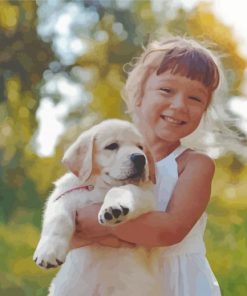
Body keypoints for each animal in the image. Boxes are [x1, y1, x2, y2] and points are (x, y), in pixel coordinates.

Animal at [33, 119, 163, 294]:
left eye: (140, 147)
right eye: (112, 146)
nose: (140, 158)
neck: (101, 186)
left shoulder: (146, 196)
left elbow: (123, 189)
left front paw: (113, 208)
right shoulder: (62, 195)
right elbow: (58, 218)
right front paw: (48, 252)